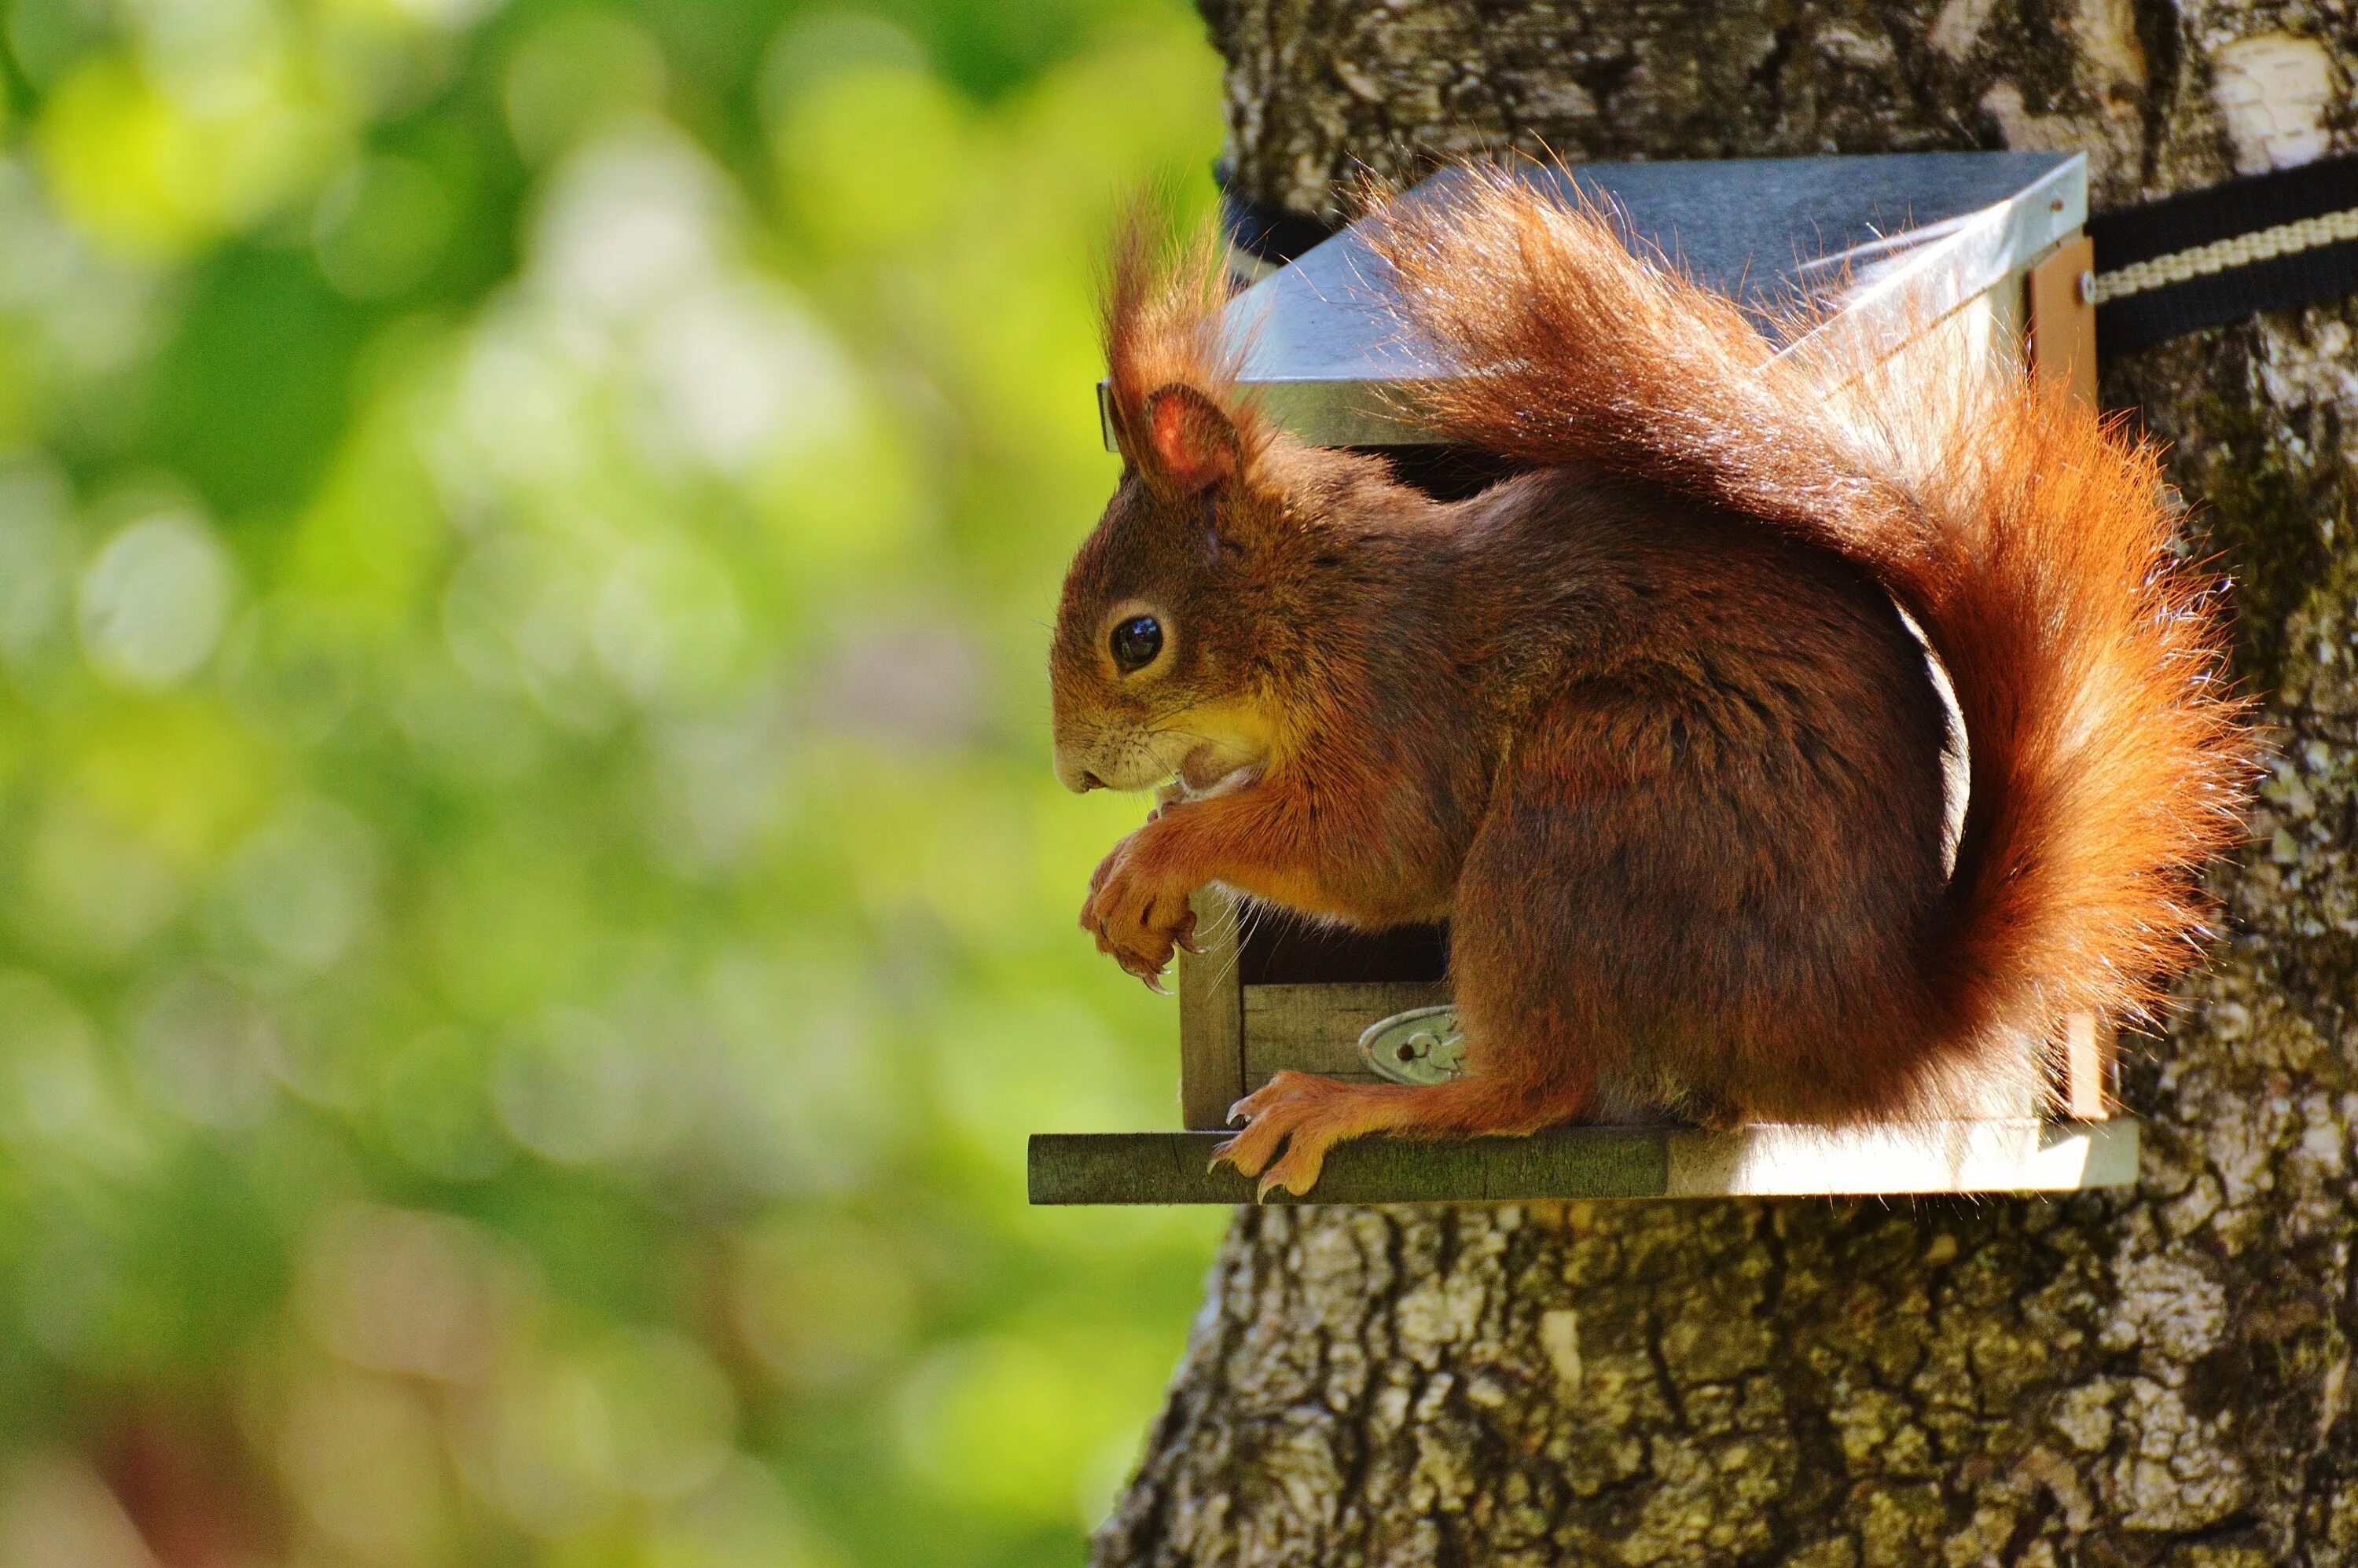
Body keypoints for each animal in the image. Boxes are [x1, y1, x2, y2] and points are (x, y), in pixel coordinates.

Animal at [1047, 171, 2245, 1193]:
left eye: (1138, 637)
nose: (1072, 775)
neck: (1318, 603)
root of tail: (1873, 1024)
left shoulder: (1398, 696)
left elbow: (1377, 848)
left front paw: (1157, 855)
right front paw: (1143, 864)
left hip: (1589, 811)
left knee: (1533, 1090)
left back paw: (1344, 1103)